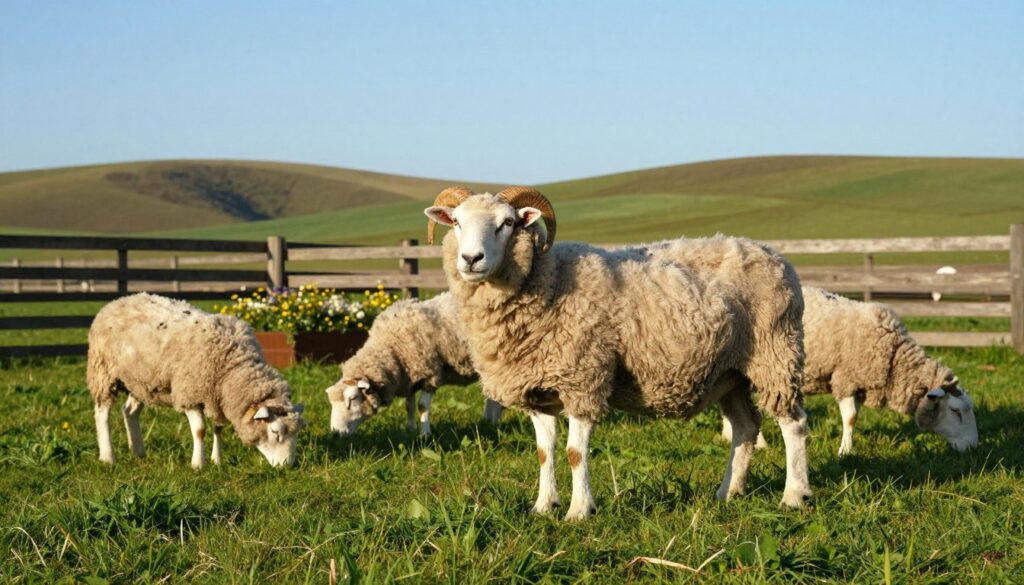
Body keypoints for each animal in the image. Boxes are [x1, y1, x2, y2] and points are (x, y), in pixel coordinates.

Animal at [87, 293, 306, 468]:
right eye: (275, 432)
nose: (287, 466)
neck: (233, 365)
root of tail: (118, 301)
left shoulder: (217, 396)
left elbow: (219, 428)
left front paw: (217, 460)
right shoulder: (190, 393)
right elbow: (200, 431)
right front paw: (198, 465)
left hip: (140, 381)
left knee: (130, 412)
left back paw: (138, 451)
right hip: (103, 372)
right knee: (102, 413)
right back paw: (108, 457)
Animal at [326, 292, 503, 436]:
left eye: (353, 398)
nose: (335, 433)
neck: (392, 346)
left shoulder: (430, 374)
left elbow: (422, 406)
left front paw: (425, 434)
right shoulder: (409, 377)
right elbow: (409, 405)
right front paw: (409, 430)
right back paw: (490, 421)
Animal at [424, 186, 811, 520]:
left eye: (507, 223)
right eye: (456, 221)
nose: (471, 259)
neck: (549, 278)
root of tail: (775, 255)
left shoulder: (583, 377)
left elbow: (574, 452)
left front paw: (580, 511)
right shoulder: (538, 388)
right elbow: (544, 451)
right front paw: (543, 506)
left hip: (775, 354)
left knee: (793, 423)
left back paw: (794, 495)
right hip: (731, 374)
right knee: (746, 427)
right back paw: (728, 492)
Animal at [723, 286, 977, 455]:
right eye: (955, 411)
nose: (973, 447)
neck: (893, 354)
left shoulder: (859, 384)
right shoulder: (845, 378)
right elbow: (851, 418)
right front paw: (845, 452)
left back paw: (728, 435)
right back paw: (760, 443)